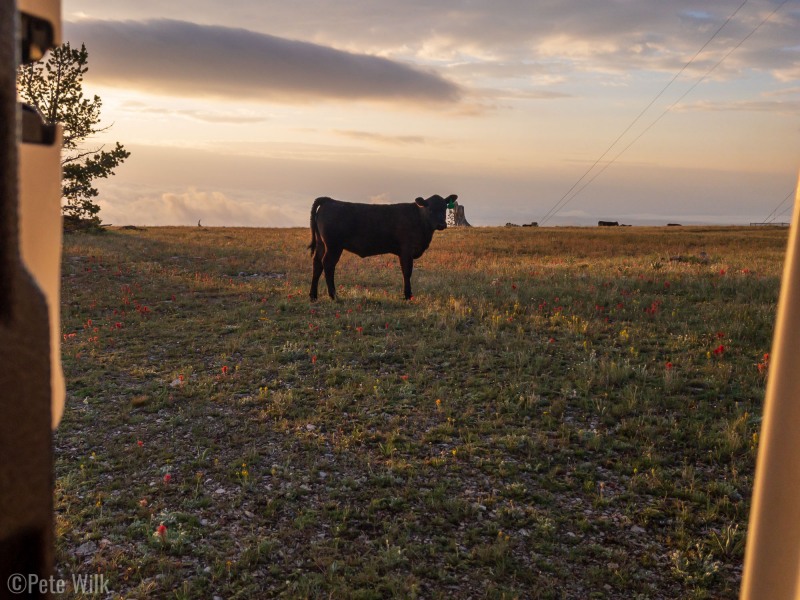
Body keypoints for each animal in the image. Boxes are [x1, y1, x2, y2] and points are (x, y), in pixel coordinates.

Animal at [308, 196, 454, 302]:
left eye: (444, 208)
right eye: (430, 209)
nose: (442, 224)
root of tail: (329, 200)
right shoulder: (406, 250)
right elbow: (407, 272)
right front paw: (407, 295)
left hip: (322, 244)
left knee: (317, 264)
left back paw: (313, 296)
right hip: (333, 246)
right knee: (327, 264)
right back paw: (333, 295)